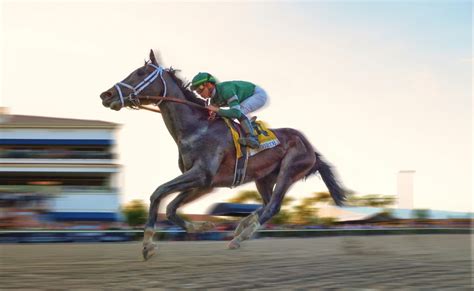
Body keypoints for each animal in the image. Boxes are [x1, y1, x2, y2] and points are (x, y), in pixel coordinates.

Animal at [101, 50, 344, 262]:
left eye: (140, 73)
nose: (106, 94)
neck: (197, 128)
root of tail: (311, 148)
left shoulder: (202, 174)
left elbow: (158, 192)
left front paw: (148, 245)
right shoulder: (204, 182)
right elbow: (170, 208)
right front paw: (202, 227)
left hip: (289, 170)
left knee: (273, 206)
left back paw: (241, 236)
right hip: (264, 178)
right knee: (266, 204)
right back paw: (242, 226)